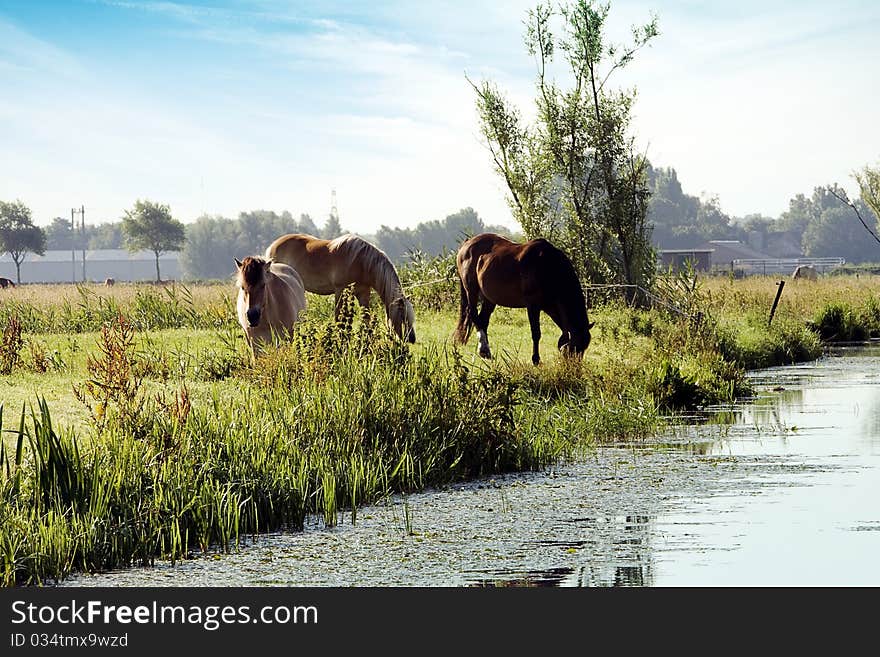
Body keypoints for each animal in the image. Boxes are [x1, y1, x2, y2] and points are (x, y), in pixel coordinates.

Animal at [264, 232, 416, 344]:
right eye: (402, 315)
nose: (412, 339)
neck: (361, 261)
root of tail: (272, 246)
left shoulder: (364, 292)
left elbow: (366, 318)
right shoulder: (340, 290)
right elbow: (339, 319)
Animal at [454, 232, 592, 366]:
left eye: (584, 347)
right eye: (573, 347)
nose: (574, 368)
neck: (546, 267)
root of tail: (467, 244)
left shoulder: (550, 307)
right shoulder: (532, 305)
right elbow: (536, 333)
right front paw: (536, 360)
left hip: (489, 299)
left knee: (483, 320)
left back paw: (485, 351)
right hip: (471, 291)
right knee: (473, 315)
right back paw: (484, 349)